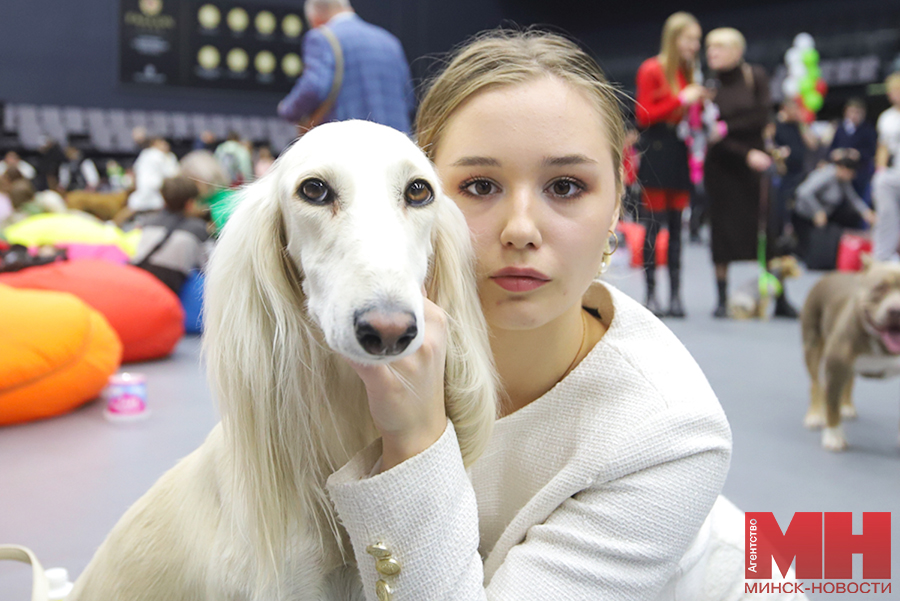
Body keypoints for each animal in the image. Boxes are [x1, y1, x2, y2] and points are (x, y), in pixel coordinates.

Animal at [804, 260, 900, 448]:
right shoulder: (835, 370)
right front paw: (833, 436)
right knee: (815, 383)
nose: (897, 310)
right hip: (812, 346)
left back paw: (847, 406)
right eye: (880, 287)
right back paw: (815, 415)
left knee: (849, 381)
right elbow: (832, 405)